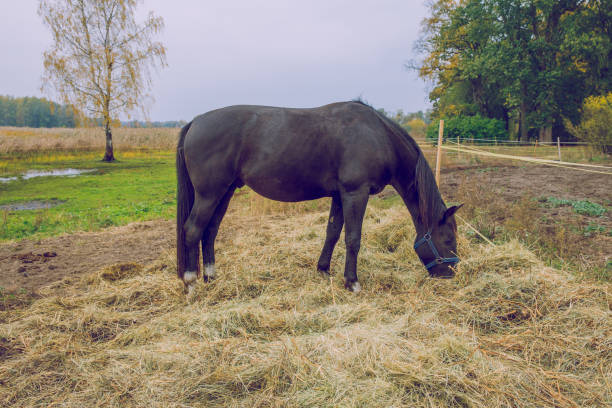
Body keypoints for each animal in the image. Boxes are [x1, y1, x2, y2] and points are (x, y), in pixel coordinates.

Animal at [176, 101, 460, 294]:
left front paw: (323, 269)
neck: (378, 136)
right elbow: (353, 238)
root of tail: (195, 122)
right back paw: (191, 283)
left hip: (223, 193)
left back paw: (211, 277)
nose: (451, 274)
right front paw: (352, 282)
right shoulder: (355, 193)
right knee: (192, 230)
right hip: (209, 194)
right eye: (448, 239)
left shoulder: (339, 195)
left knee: (209, 231)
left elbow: (332, 232)